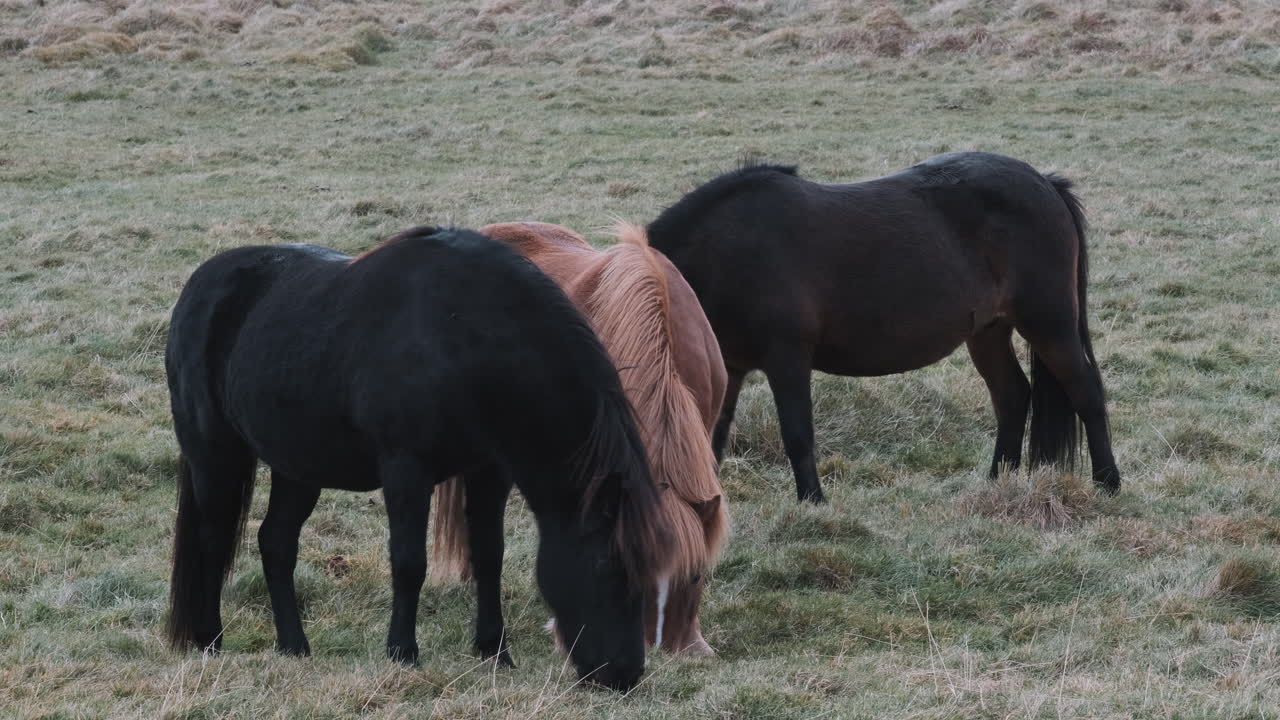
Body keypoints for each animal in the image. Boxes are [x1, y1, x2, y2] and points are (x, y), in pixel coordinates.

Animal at [164, 226, 674, 691]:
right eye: (606, 567)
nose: (625, 674)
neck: (461, 336)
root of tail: (198, 287)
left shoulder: (488, 471)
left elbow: (488, 556)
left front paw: (495, 651)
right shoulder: (406, 470)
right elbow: (410, 562)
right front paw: (402, 652)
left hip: (298, 467)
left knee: (276, 543)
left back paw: (293, 646)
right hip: (214, 456)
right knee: (212, 540)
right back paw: (209, 641)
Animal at [647, 151, 1120, 503]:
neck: (726, 252)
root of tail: (1046, 183)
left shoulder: (787, 359)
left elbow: (797, 434)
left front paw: (813, 504)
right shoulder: (728, 363)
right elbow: (711, 437)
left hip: (1049, 324)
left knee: (1086, 391)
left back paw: (1108, 484)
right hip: (988, 332)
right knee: (1012, 396)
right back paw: (996, 481)